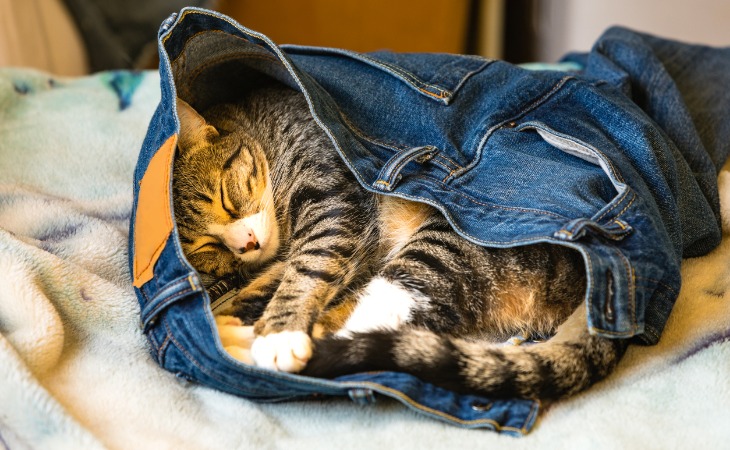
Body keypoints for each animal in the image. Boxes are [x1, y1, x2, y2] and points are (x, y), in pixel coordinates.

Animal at [171, 85, 624, 400]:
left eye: (225, 199)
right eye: (206, 248)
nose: (245, 245)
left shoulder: (333, 207)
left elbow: (306, 272)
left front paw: (279, 334)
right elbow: (267, 283)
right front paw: (236, 309)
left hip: (443, 249)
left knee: (369, 323)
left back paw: (241, 349)